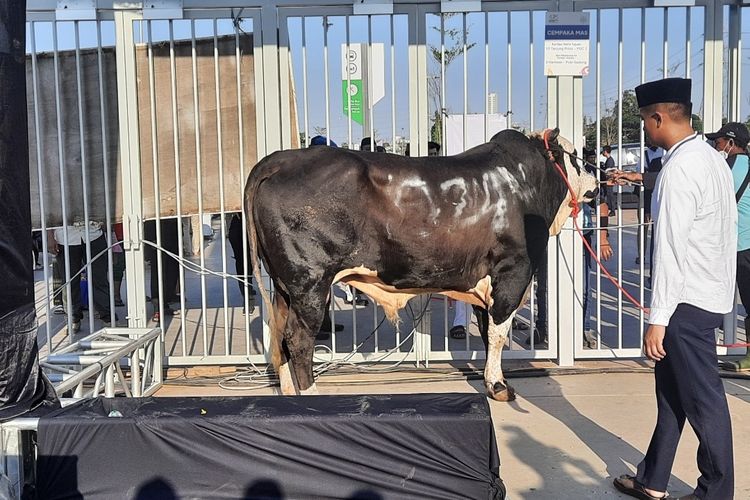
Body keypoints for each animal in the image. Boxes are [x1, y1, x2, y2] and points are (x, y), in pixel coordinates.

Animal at [247, 130, 600, 402]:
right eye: (574, 155)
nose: (595, 178)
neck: (524, 184)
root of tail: (280, 159)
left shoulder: (486, 281)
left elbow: (487, 333)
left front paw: (491, 382)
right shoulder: (512, 273)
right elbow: (499, 334)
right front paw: (500, 387)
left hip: (285, 288)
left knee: (279, 337)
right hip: (310, 282)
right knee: (297, 339)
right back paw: (311, 397)